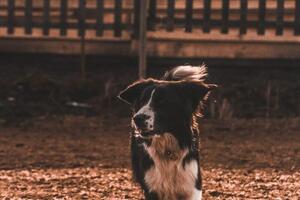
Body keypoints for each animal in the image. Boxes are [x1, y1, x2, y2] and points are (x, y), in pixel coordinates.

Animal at [118, 66, 217, 200]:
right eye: (142, 100)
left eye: (162, 101)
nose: (137, 118)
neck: (167, 148)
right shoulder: (152, 188)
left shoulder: (192, 184)